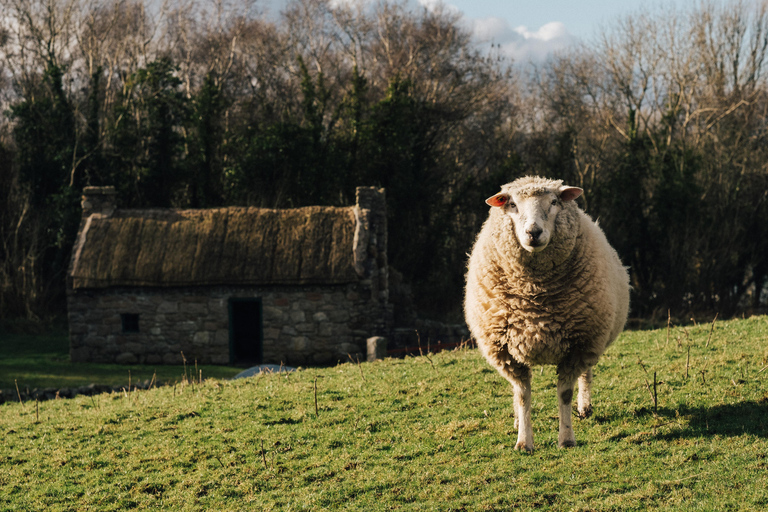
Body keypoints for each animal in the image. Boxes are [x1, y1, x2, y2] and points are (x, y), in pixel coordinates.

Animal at [464, 176, 628, 452]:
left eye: (553, 202)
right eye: (512, 204)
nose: (533, 232)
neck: (534, 295)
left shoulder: (580, 344)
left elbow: (565, 393)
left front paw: (567, 438)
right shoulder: (506, 352)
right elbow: (522, 395)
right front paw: (524, 442)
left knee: (586, 375)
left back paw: (584, 407)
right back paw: (517, 420)